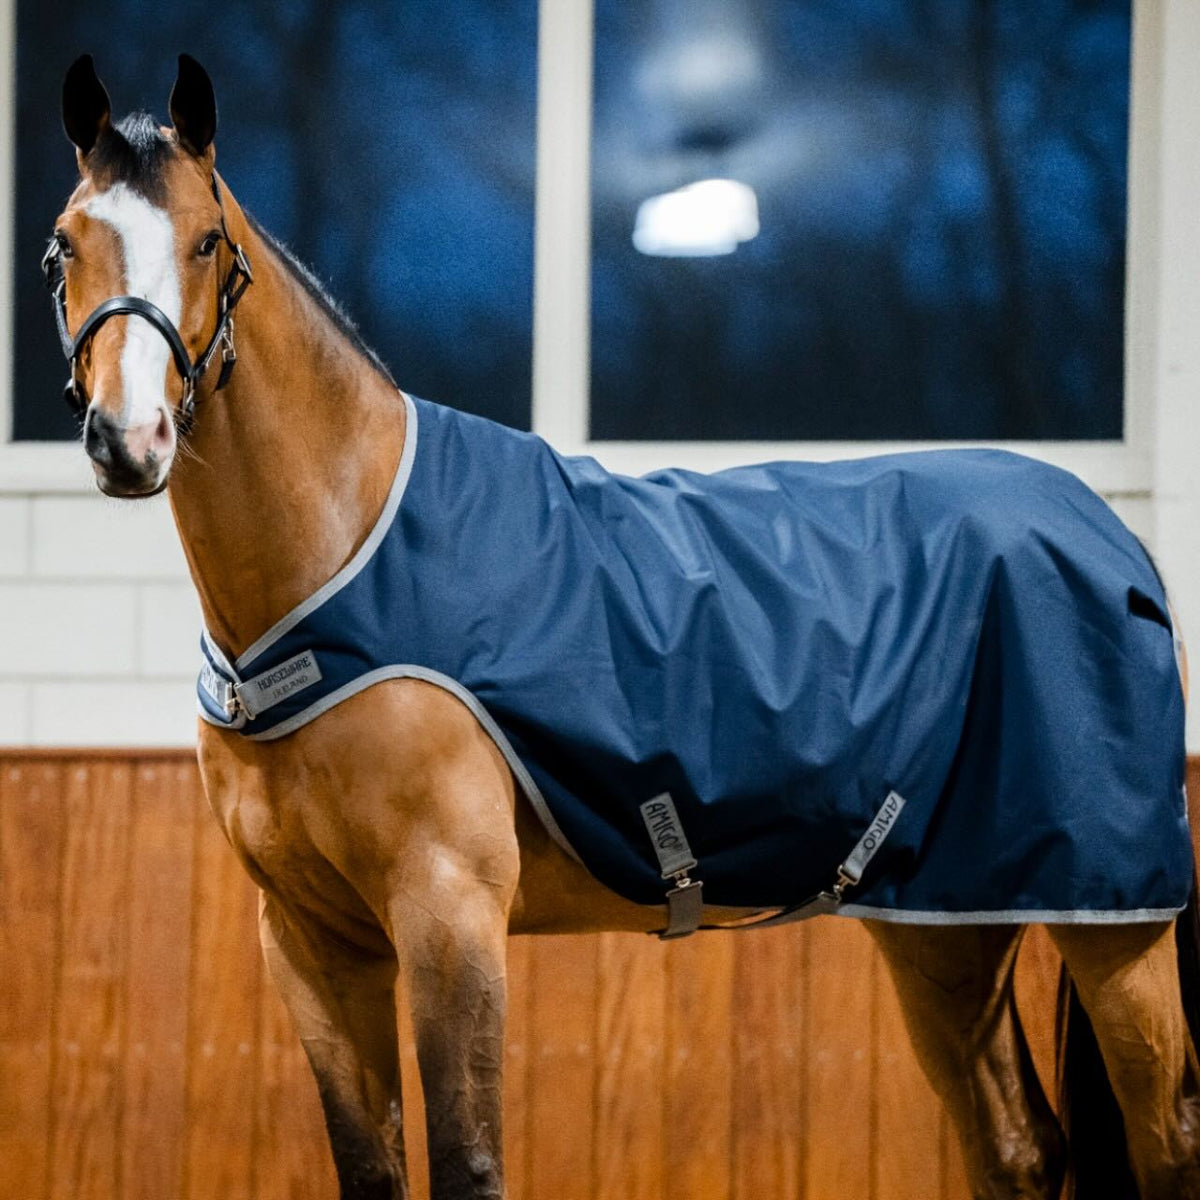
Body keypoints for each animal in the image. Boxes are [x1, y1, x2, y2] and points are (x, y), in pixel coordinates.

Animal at [44, 53, 1200, 1199]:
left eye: (206, 240)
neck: (337, 567)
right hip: (946, 926)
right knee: (1016, 1149)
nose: (128, 440)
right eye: (65, 243)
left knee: (1168, 1134)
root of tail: (1109, 537)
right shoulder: (313, 941)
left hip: (1118, 929)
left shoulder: (449, 912)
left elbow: (468, 1163)